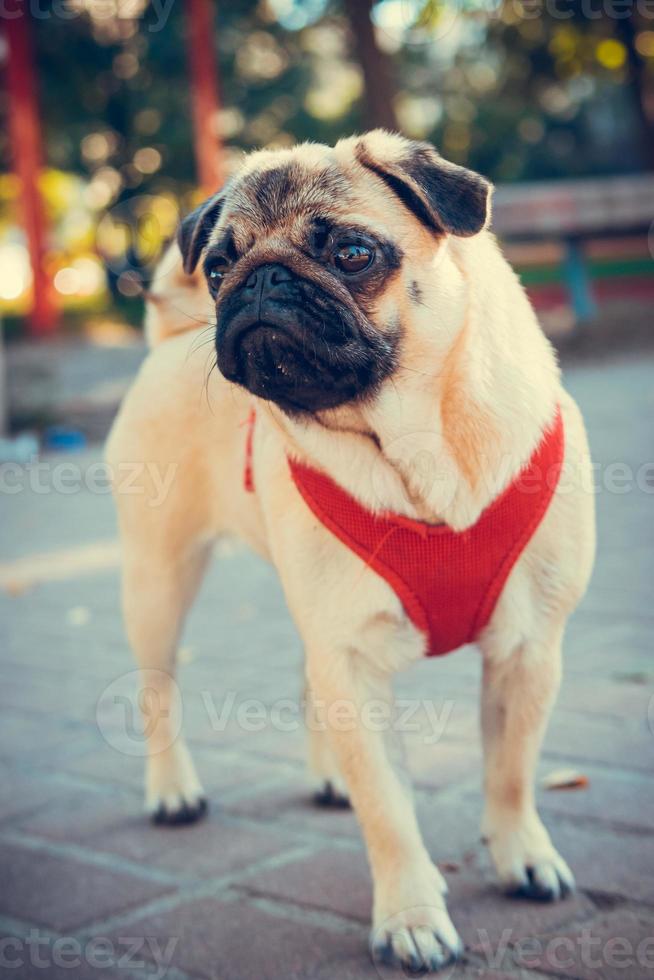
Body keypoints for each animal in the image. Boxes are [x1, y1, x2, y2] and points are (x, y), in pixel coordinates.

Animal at [107, 130, 600, 972]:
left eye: (351, 253)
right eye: (218, 267)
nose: (261, 280)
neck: (418, 449)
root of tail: (171, 341)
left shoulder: (529, 648)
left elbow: (511, 773)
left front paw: (522, 858)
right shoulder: (353, 659)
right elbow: (389, 811)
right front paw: (410, 918)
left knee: (305, 683)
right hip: (157, 578)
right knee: (157, 689)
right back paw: (173, 791)